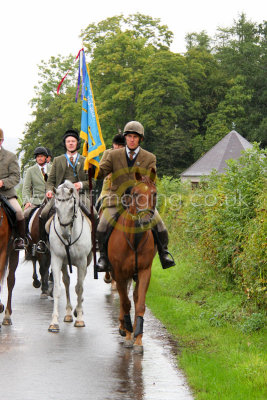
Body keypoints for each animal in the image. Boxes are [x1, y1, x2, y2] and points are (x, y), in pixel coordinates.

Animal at [48, 180, 93, 332]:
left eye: (71, 208)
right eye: (56, 208)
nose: (64, 234)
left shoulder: (82, 261)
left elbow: (79, 287)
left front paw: (79, 319)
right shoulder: (56, 259)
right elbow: (57, 289)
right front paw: (54, 322)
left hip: (87, 261)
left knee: (81, 283)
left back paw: (78, 310)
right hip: (63, 263)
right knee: (66, 281)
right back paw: (68, 313)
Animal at [108, 169, 157, 354]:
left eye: (154, 194)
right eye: (135, 194)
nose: (145, 220)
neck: (134, 240)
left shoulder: (145, 271)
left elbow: (140, 304)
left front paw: (138, 339)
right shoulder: (119, 272)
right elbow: (125, 303)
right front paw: (129, 336)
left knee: (134, 297)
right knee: (125, 300)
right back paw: (124, 328)